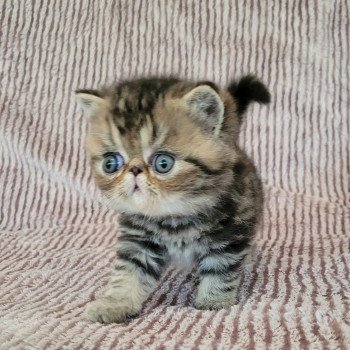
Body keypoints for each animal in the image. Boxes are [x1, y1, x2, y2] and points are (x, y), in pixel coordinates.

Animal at [75, 76, 270, 322]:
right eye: (110, 163)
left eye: (163, 163)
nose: (135, 169)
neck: (174, 216)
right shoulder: (139, 241)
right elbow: (129, 273)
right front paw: (115, 303)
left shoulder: (228, 235)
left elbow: (219, 268)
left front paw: (213, 300)